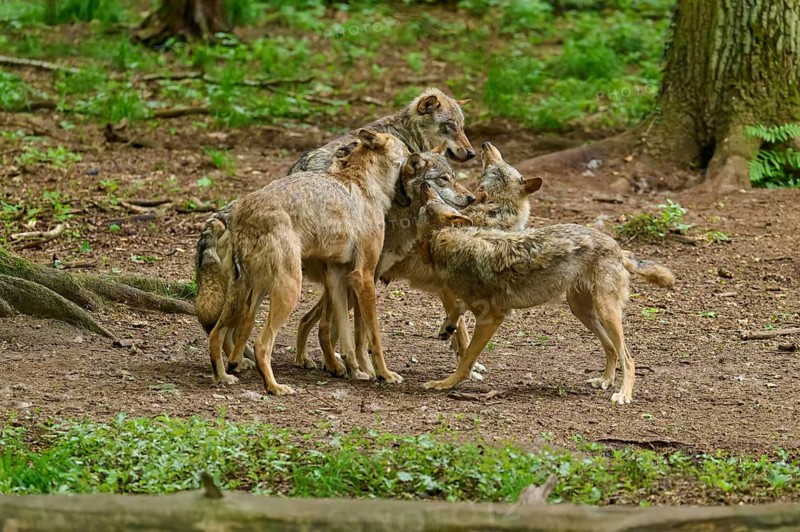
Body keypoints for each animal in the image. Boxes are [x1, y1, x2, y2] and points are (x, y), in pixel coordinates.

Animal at [208, 129, 410, 394]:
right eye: (407, 149)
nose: (416, 156)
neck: (367, 186)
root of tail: (242, 212)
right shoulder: (364, 275)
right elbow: (373, 337)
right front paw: (384, 374)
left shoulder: (336, 276)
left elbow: (344, 336)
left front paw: (354, 372)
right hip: (289, 290)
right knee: (261, 343)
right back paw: (274, 387)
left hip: (250, 293)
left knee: (221, 333)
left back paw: (224, 375)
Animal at [415, 182, 675, 404]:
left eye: (430, 204)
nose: (425, 185)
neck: (453, 243)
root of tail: (619, 248)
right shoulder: (478, 307)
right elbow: (457, 307)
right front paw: (447, 327)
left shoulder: (492, 318)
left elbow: (466, 360)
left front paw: (444, 383)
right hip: (583, 312)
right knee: (611, 349)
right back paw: (604, 381)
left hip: (606, 313)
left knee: (628, 358)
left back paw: (623, 394)